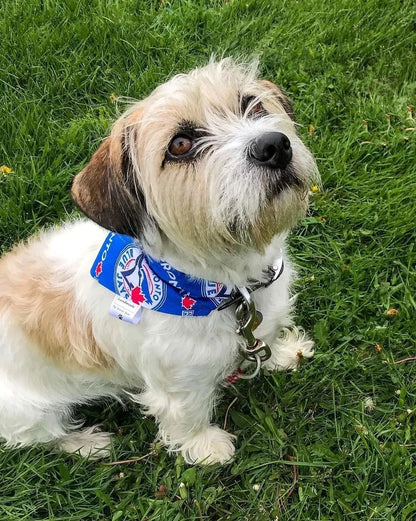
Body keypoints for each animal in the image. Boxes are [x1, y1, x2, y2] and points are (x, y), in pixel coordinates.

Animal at [0, 58, 316, 464]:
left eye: (253, 104)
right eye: (180, 145)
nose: (274, 145)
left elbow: (267, 337)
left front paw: (285, 352)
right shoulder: (179, 384)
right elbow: (187, 415)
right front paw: (206, 447)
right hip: (27, 411)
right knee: (44, 437)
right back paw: (87, 443)